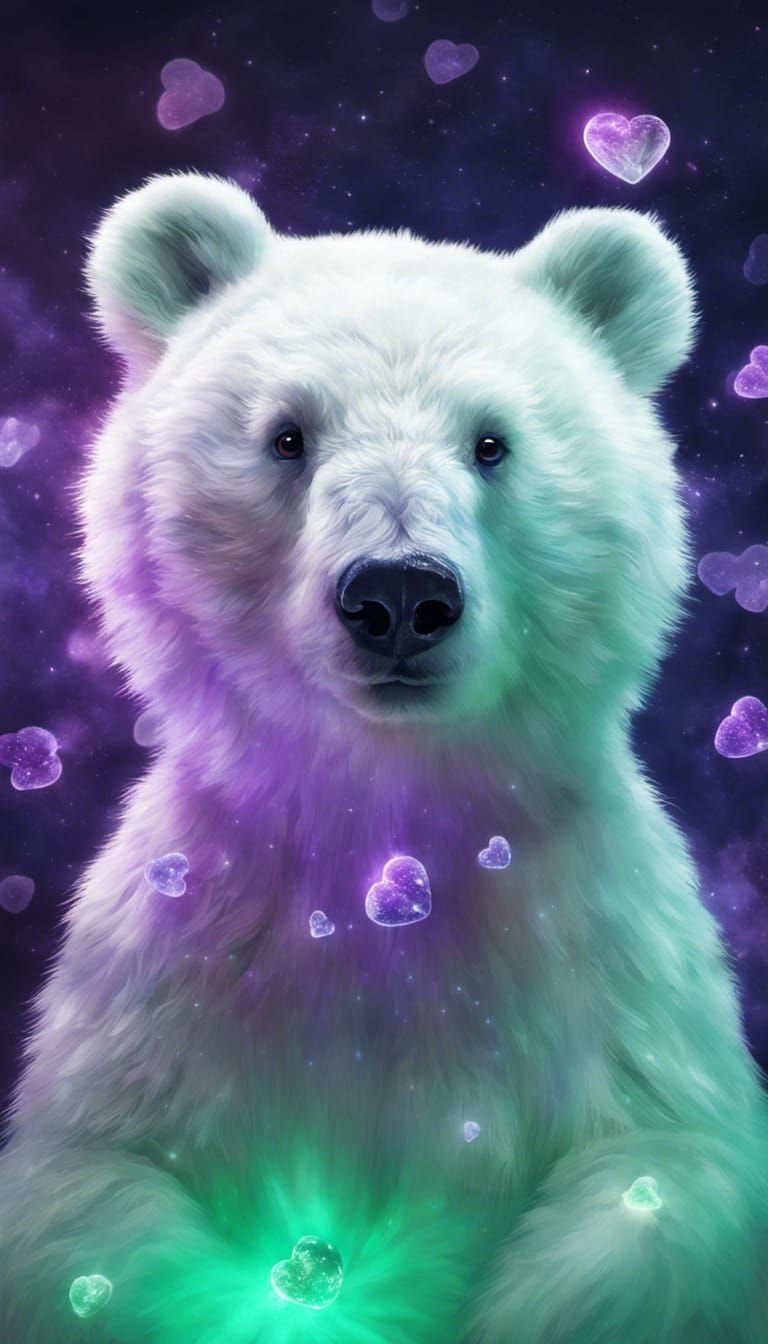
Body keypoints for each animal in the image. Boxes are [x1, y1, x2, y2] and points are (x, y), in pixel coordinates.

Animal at [0, 171, 766, 1344]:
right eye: (286, 435)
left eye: (493, 442)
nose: (400, 594)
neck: (389, 848)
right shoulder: (177, 988)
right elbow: (91, 1205)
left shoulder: (602, 979)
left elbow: (657, 1189)